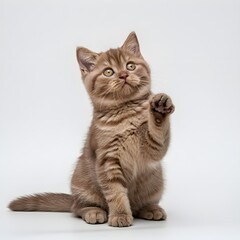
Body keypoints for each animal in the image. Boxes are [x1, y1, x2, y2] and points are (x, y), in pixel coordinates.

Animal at [8, 31, 174, 227]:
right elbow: (115, 192)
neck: (126, 112)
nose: (124, 75)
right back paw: (93, 212)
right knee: (78, 208)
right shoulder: (107, 159)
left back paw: (151, 209)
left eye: (131, 66)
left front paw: (159, 109)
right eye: (108, 71)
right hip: (82, 184)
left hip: (156, 182)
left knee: (140, 205)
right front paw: (120, 215)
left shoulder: (152, 150)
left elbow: (157, 135)